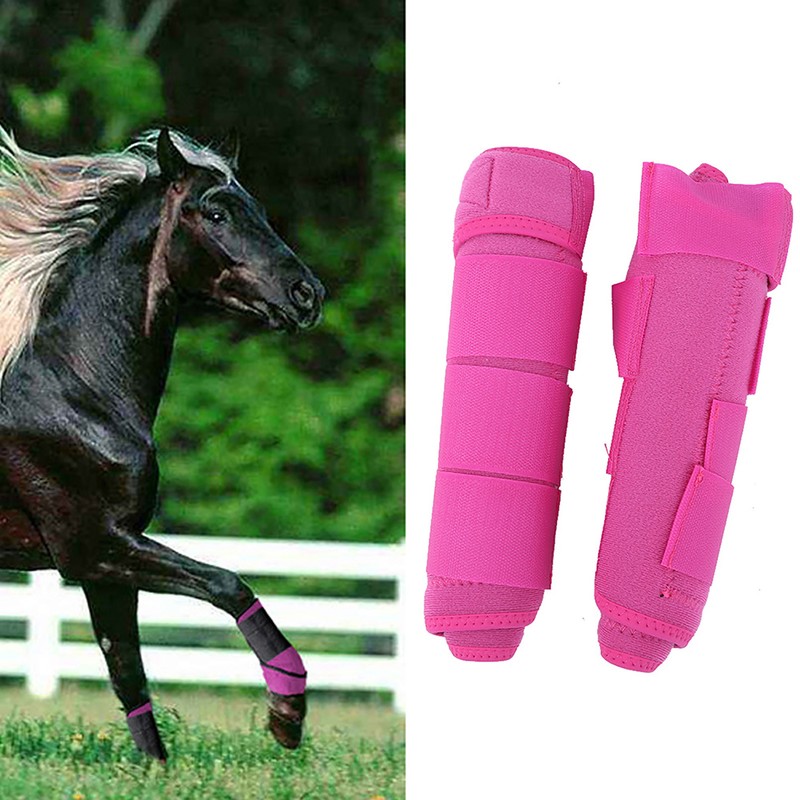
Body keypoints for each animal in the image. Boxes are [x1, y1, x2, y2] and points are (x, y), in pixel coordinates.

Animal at [0, 127, 324, 761]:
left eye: (257, 209)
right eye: (217, 212)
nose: (307, 295)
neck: (73, 389)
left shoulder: (105, 563)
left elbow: (128, 672)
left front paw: (156, 767)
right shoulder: (94, 545)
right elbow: (227, 583)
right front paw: (287, 715)